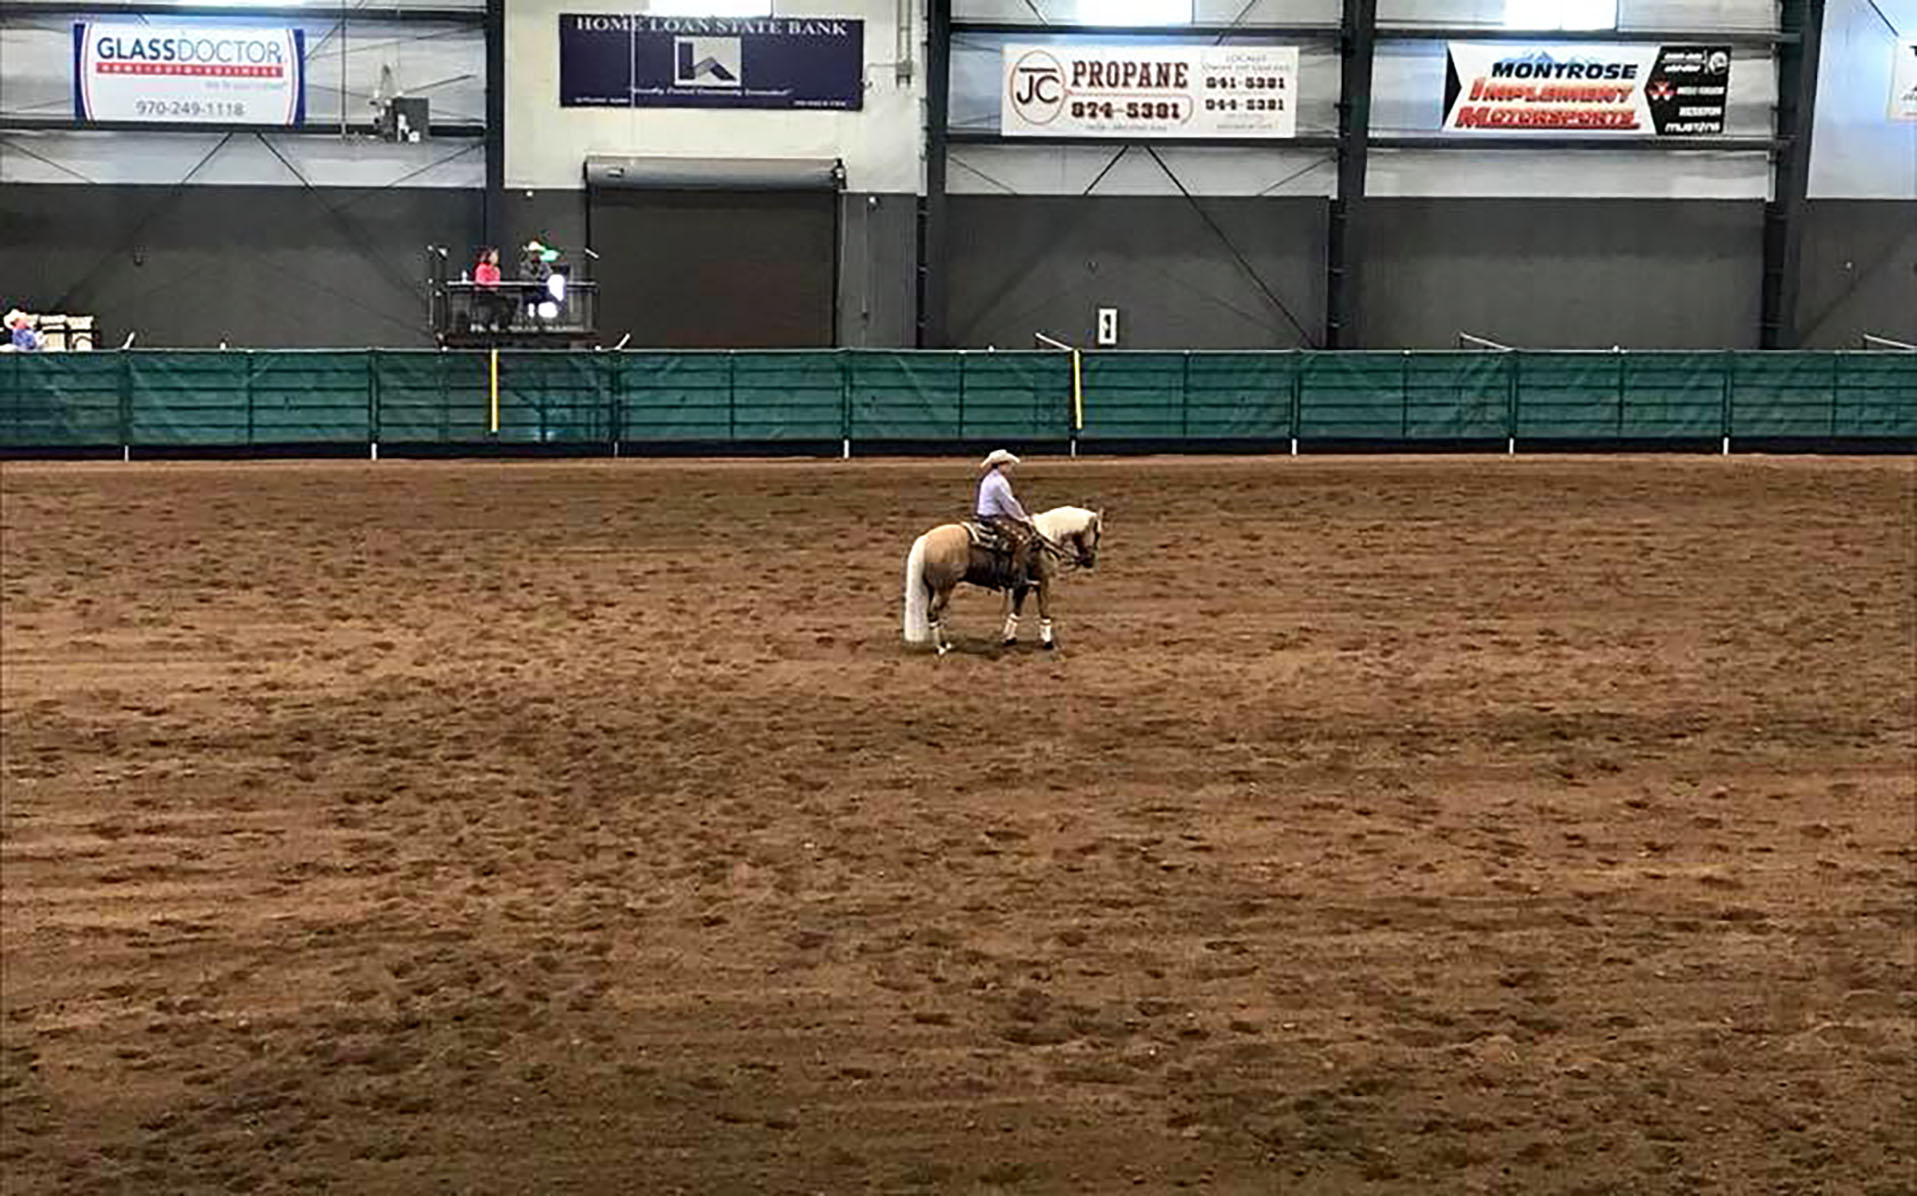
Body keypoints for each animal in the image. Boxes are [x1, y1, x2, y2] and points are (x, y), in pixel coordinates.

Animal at [900, 506, 1104, 655]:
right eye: (1098, 533)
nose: (1090, 560)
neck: (1045, 538)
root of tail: (926, 538)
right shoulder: (1043, 581)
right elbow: (1044, 610)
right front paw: (1048, 642)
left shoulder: (1023, 585)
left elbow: (1016, 610)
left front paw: (1009, 638)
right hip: (945, 588)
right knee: (933, 612)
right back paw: (942, 647)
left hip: (932, 587)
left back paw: (944, 644)